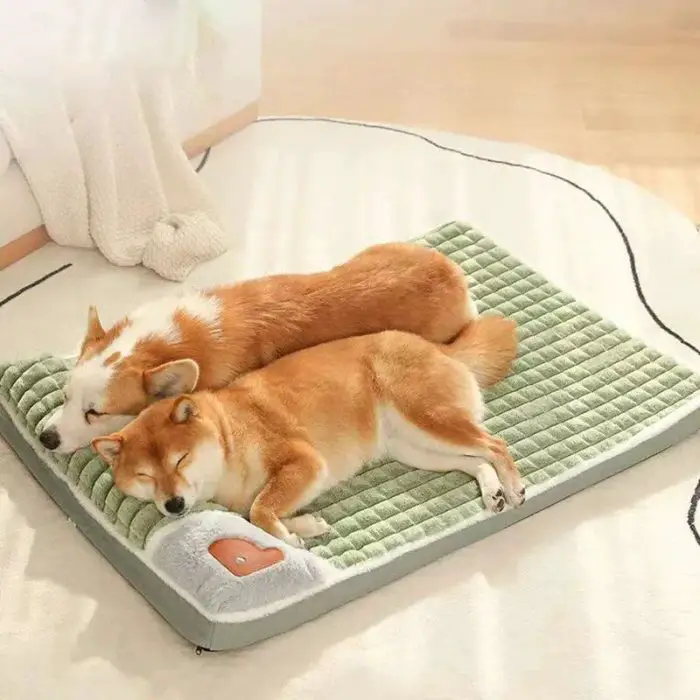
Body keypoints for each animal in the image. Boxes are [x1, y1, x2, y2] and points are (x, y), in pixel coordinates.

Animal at [93, 314, 524, 548]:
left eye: (180, 460)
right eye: (146, 476)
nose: (174, 505)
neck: (230, 435)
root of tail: (439, 348)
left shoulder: (304, 462)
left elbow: (260, 509)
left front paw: (286, 537)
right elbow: (255, 513)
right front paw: (305, 526)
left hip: (426, 417)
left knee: (496, 444)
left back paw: (514, 486)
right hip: (415, 448)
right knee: (476, 460)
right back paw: (493, 490)